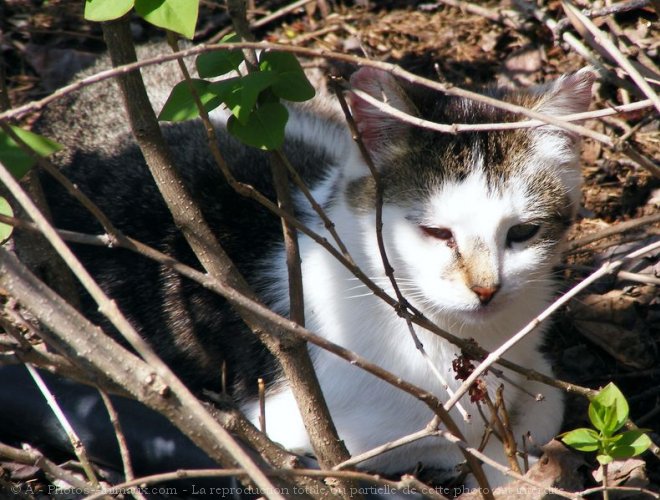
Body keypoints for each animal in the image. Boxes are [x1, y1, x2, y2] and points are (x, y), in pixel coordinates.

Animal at [32, 46, 600, 484]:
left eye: (522, 233)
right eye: (437, 233)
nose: (486, 290)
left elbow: (550, 398)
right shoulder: (292, 426)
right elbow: (442, 441)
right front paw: (506, 460)